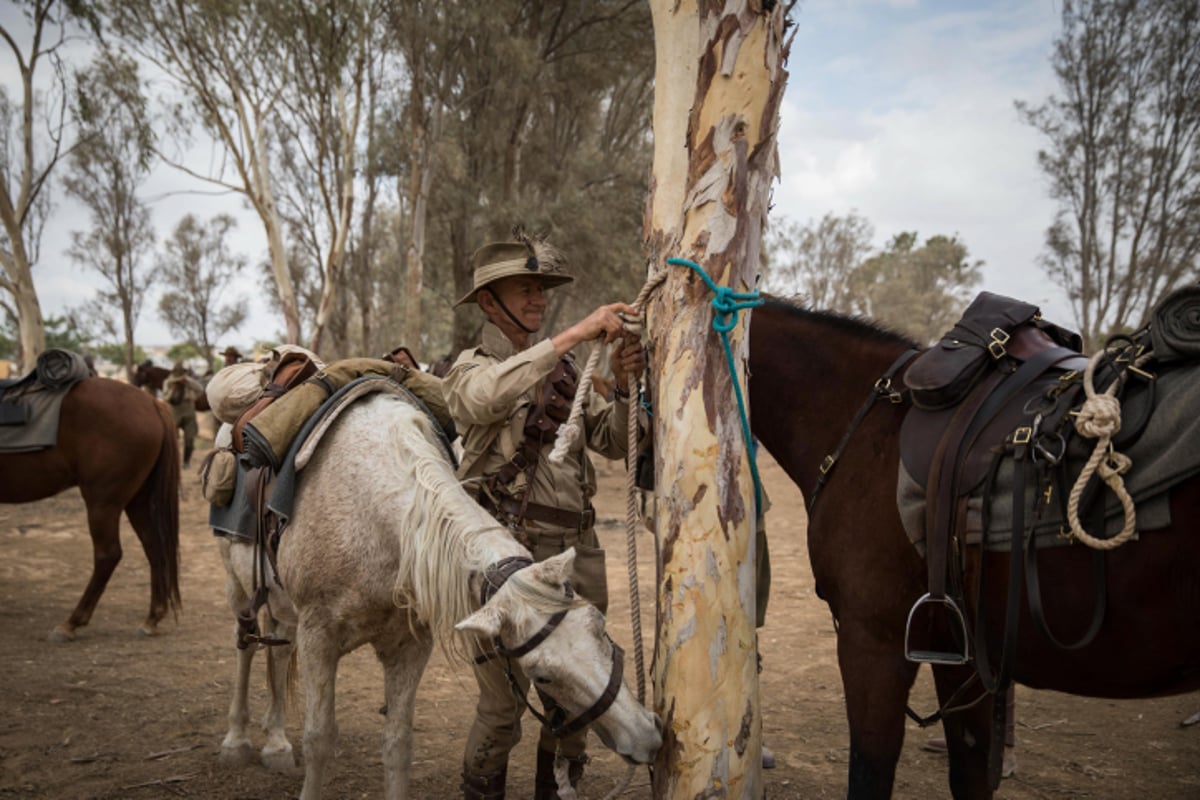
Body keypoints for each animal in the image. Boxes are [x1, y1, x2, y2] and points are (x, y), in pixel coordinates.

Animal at [0, 379, 182, 642]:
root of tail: (152, 402)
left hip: (102, 503)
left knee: (108, 555)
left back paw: (72, 623)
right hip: (138, 500)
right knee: (154, 547)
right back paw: (152, 619)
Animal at [218, 393, 667, 800]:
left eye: (599, 626)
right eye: (541, 675)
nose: (646, 736)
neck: (380, 521)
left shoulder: (410, 645)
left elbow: (398, 745)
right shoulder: (319, 637)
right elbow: (319, 739)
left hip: (283, 609)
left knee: (278, 650)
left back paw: (276, 743)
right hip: (240, 588)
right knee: (246, 646)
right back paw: (237, 739)